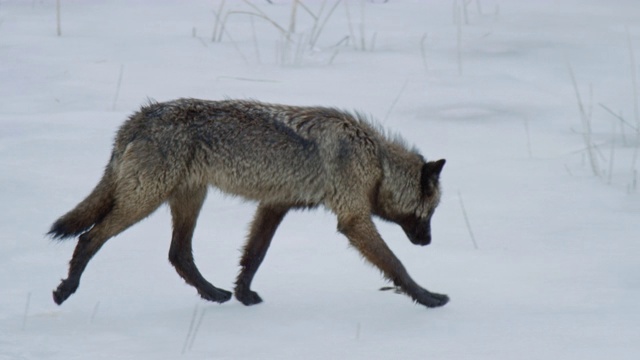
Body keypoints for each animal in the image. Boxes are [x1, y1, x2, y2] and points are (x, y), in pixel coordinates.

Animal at [48, 99, 450, 310]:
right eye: (431, 213)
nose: (429, 242)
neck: (377, 161)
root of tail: (137, 119)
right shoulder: (352, 220)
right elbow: (396, 264)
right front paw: (428, 297)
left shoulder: (274, 206)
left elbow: (253, 256)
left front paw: (243, 295)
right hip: (144, 202)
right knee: (89, 238)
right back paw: (66, 290)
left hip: (188, 200)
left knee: (178, 254)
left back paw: (213, 294)